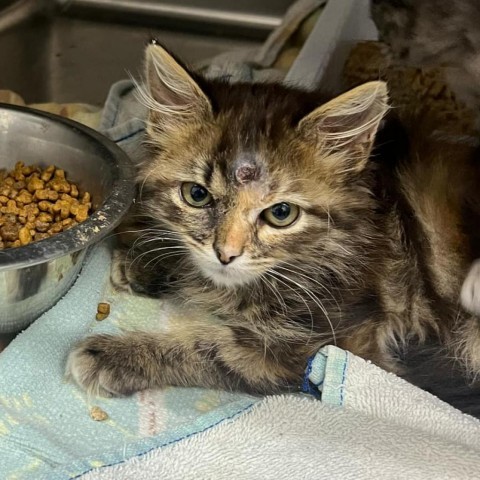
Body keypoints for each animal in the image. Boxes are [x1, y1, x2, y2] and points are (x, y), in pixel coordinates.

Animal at [65, 45, 480, 412]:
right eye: (196, 195)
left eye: (281, 213)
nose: (226, 254)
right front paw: (146, 260)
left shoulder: (320, 349)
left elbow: (213, 349)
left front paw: (113, 356)